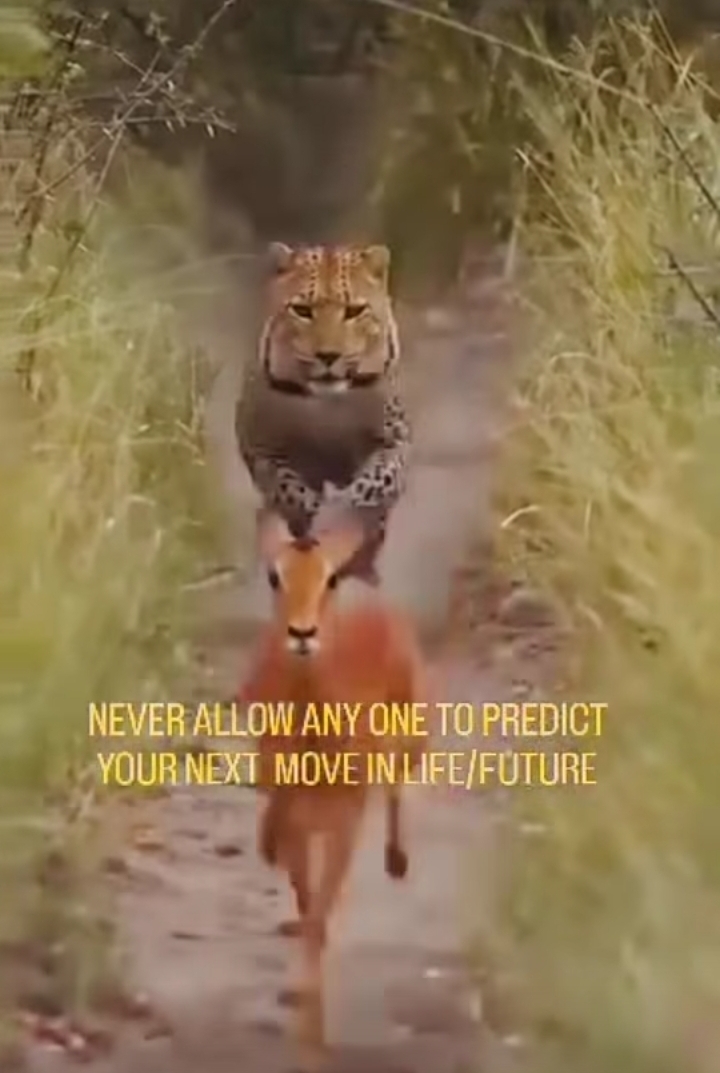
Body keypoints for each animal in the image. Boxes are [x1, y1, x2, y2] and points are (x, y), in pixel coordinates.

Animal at [235, 242, 411, 585]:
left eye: (354, 311)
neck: (327, 405)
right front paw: (315, 518)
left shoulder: (394, 439)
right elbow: (290, 490)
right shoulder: (262, 448)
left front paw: (345, 512)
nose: (328, 356)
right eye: (302, 310)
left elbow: (377, 480)